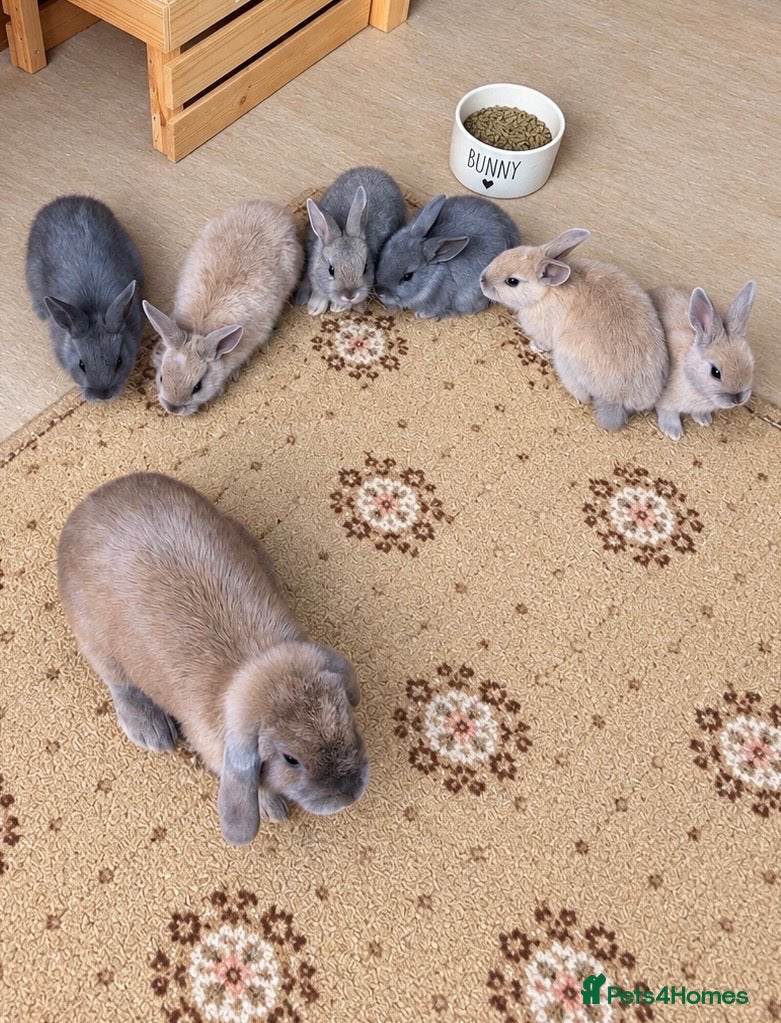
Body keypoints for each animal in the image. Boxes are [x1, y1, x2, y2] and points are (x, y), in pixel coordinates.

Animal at [57, 471, 369, 846]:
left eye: (344, 715)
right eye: (290, 759)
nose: (348, 792)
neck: (254, 666)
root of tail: (90, 503)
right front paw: (272, 808)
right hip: (94, 637)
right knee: (117, 680)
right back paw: (151, 731)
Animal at [295, 166, 407, 315]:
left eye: (365, 268)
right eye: (331, 270)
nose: (350, 295)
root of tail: (377, 171)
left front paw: (338, 307)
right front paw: (315, 307)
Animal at [480, 229, 669, 431]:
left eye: (512, 281)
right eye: (507, 253)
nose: (482, 280)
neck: (545, 293)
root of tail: (618, 399)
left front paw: (534, 347)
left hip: (565, 360)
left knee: (584, 396)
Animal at [649, 282, 756, 440]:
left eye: (751, 364)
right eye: (715, 372)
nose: (737, 400)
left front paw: (704, 420)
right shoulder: (665, 400)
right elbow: (668, 412)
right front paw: (673, 432)